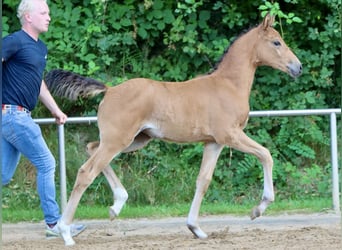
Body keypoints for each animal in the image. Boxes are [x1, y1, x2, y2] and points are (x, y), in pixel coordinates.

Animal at [45, 13, 302, 244]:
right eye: (276, 42)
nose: (298, 67)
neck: (228, 85)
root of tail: (110, 90)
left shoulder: (214, 142)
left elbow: (203, 180)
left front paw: (195, 228)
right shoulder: (230, 135)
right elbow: (266, 155)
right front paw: (258, 209)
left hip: (134, 140)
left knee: (91, 147)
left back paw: (116, 205)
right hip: (118, 140)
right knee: (86, 172)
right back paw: (65, 231)